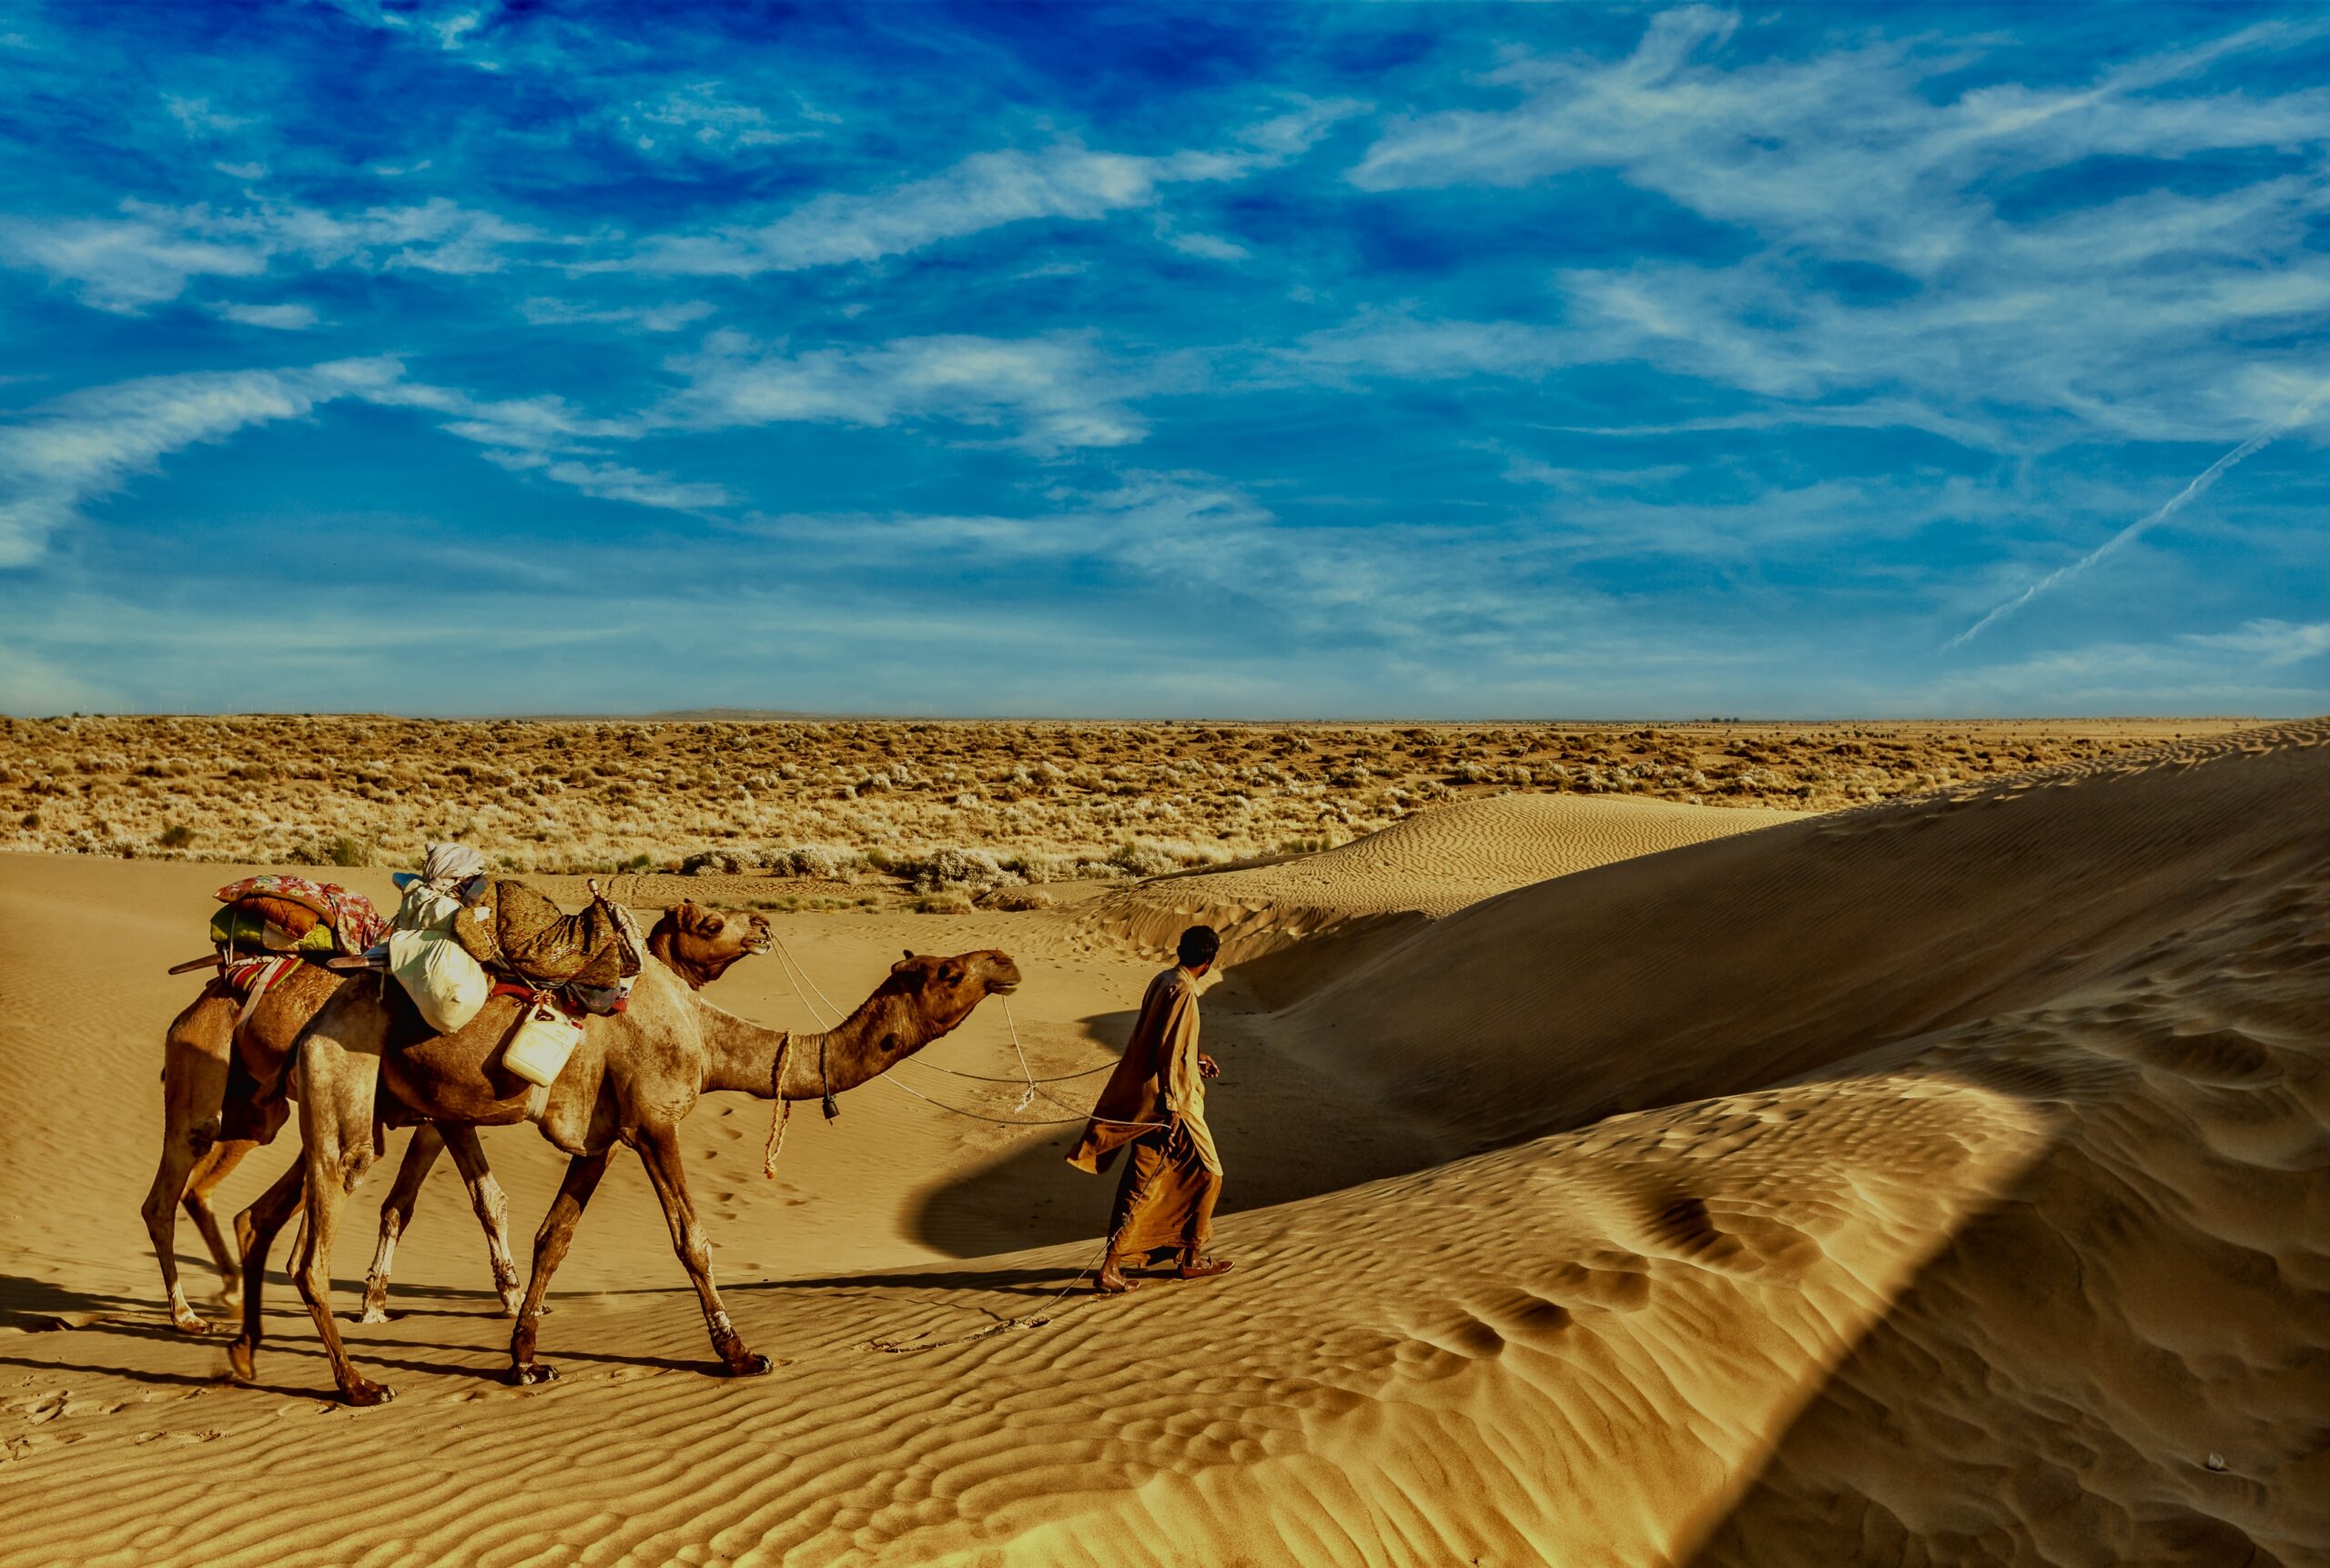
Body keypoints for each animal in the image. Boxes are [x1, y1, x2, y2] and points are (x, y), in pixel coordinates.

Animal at [142, 902, 770, 1334]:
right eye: (711, 923)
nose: (763, 926)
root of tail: (206, 993)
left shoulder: (437, 1117)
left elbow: (424, 1202)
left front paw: (379, 1300)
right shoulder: (441, 1115)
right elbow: (458, 1201)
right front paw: (507, 1298)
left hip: (258, 1112)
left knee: (248, 1203)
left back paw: (231, 1294)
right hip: (211, 1087)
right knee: (171, 1192)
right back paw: (188, 1312)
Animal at [227, 944, 1020, 1405]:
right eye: (951, 971)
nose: (1007, 961)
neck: (706, 1035)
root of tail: (309, 1017)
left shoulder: (601, 1139)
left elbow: (554, 1238)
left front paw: (525, 1362)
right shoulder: (654, 1120)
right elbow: (691, 1239)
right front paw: (739, 1353)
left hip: (355, 1102)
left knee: (258, 1214)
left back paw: (244, 1353)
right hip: (347, 1086)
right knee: (311, 1250)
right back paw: (357, 1382)